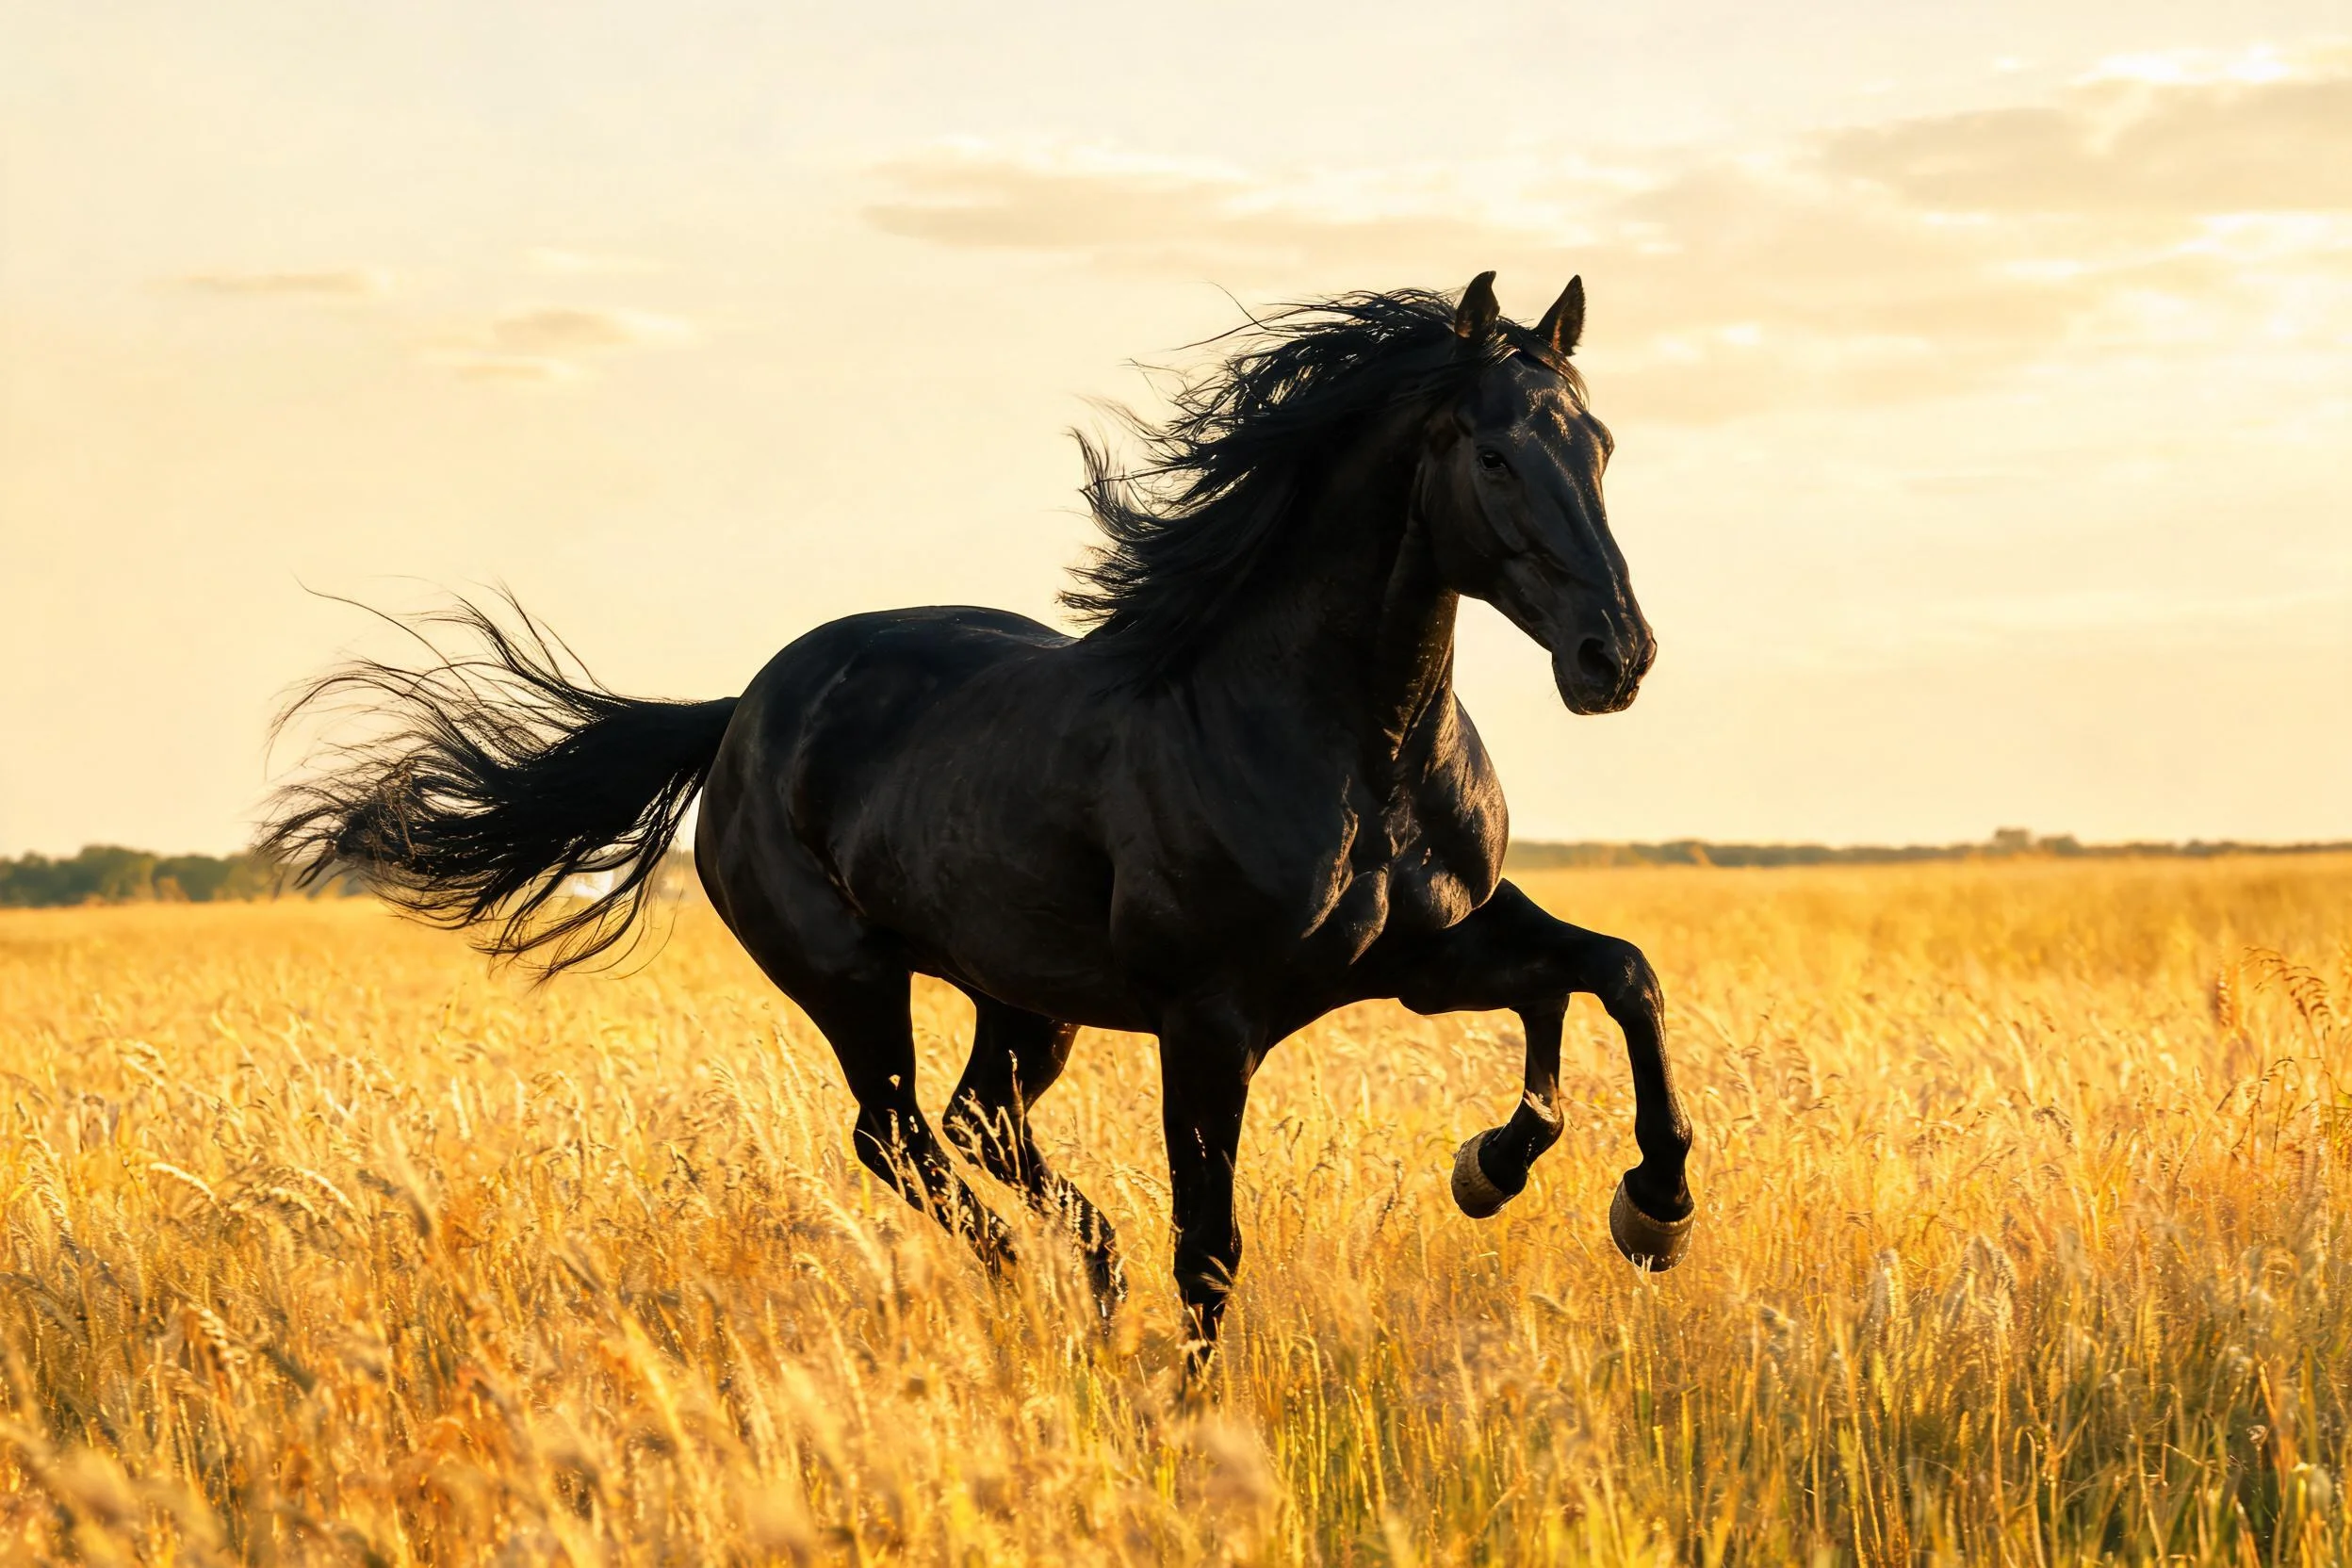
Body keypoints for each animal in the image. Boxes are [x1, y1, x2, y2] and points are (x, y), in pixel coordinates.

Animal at [264, 271, 1696, 1372]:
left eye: (1603, 446)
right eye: (1496, 455)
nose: (1614, 658)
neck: (1356, 747)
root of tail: (742, 711)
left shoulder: (1428, 955)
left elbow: (1610, 978)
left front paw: (1604, 1193)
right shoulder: (1213, 1020)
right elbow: (1211, 1246)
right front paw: (1194, 1420)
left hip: (1027, 1000)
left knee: (975, 1127)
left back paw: (1084, 1283)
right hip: (851, 980)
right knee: (897, 1136)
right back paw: (1023, 1282)